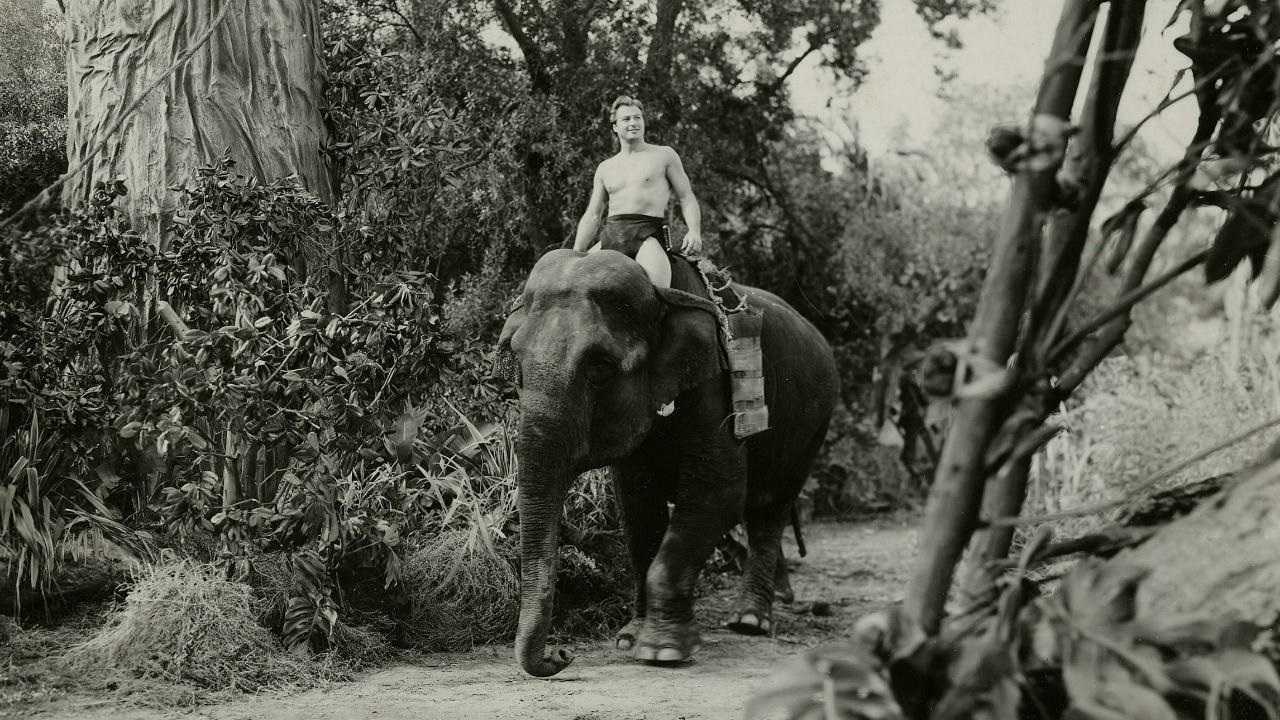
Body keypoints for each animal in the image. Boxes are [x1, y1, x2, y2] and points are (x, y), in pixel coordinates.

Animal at [499, 245, 839, 671]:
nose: (562, 654)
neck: (662, 296)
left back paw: (749, 622)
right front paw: (629, 639)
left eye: (600, 368)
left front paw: (663, 651)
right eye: (517, 364)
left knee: (769, 509)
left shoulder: (713, 383)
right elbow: (637, 506)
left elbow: (718, 493)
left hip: (812, 425)